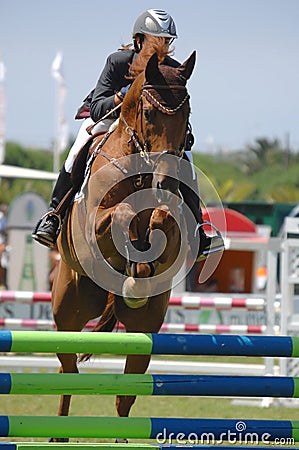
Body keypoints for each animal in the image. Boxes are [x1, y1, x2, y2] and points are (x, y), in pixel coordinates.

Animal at [51, 51, 197, 442]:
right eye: (148, 112)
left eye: (187, 113)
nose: (166, 179)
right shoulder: (94, 226)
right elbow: (122, 215)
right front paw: (135, 263)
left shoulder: (172, 224)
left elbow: (162, 221)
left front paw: (139, 272)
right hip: (67, 313)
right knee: (68, 372)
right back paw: (58, 433)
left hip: (143, 329)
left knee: (126, 393)